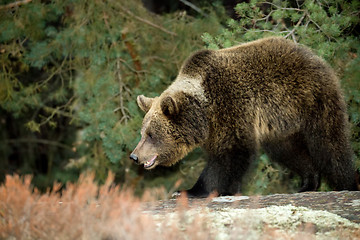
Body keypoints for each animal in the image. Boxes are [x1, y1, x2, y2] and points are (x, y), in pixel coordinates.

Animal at [129, 37, 358, 197]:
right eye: (142, 133)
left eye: (151, 134)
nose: (134, 156)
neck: (204, 112)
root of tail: (315, 56)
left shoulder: (230, 108)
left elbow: (229, 154)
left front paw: (191, 191)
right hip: (282, 125)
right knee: (290, 151)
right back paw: (307, 183)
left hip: (313, 99)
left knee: (329, 144)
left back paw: (347, 183)